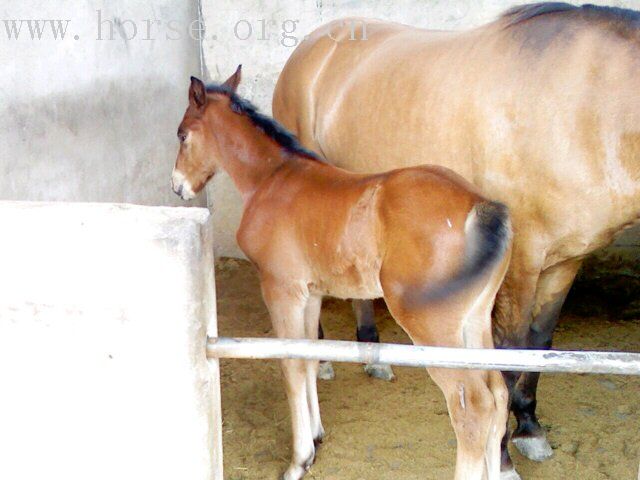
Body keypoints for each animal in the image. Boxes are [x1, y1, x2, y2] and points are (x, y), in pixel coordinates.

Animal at [172, 67, 512, 480]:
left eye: (182, 134)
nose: (178, 186)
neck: (271, 180)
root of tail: (480, 205)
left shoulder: (280, 289)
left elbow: (290, 366)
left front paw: (299, 459)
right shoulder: (310, 293)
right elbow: (309, 357)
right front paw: (316, 436)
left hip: (433, 327)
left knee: (473, 406)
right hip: (476, 320)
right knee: (498, 393)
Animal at [272, 2, 640, 476]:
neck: (583, 106)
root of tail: (312, 46)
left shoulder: (564, 262)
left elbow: (539, 343)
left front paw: (530, 428)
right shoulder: (520, 264)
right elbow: (507, 354)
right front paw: (502, 455)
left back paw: (371, 352)